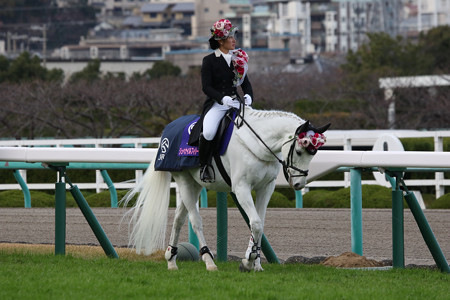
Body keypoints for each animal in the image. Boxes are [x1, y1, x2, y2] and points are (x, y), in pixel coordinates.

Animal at [121, 108, 328, 272]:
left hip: (194, 184)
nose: (299, 184)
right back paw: (209, 262)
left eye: (314, 153)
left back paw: (171, 260)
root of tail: (169, 128)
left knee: (179, 218)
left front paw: (255, 262)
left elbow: (259, 224)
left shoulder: (265, 188)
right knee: (195, 221)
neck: (256, 142)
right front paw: (248, 261)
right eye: (299, 151)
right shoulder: (241, 188)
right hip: (184, 181)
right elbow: (255, 223)